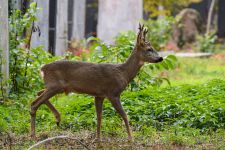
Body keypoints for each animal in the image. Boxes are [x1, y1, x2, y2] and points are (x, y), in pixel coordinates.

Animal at [30, 24, 163, 141]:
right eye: (149, 49)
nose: (160, 58)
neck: (123, 73)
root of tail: (42, 69)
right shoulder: (113, 93)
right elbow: (125, 115)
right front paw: (131, 138)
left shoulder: (99, 95)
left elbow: (99, 117)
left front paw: (98, 139)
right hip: (55, 86)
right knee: (34, 103)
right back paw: (34, 135)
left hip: (55, 87)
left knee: (38, 93)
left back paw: (57, 119)